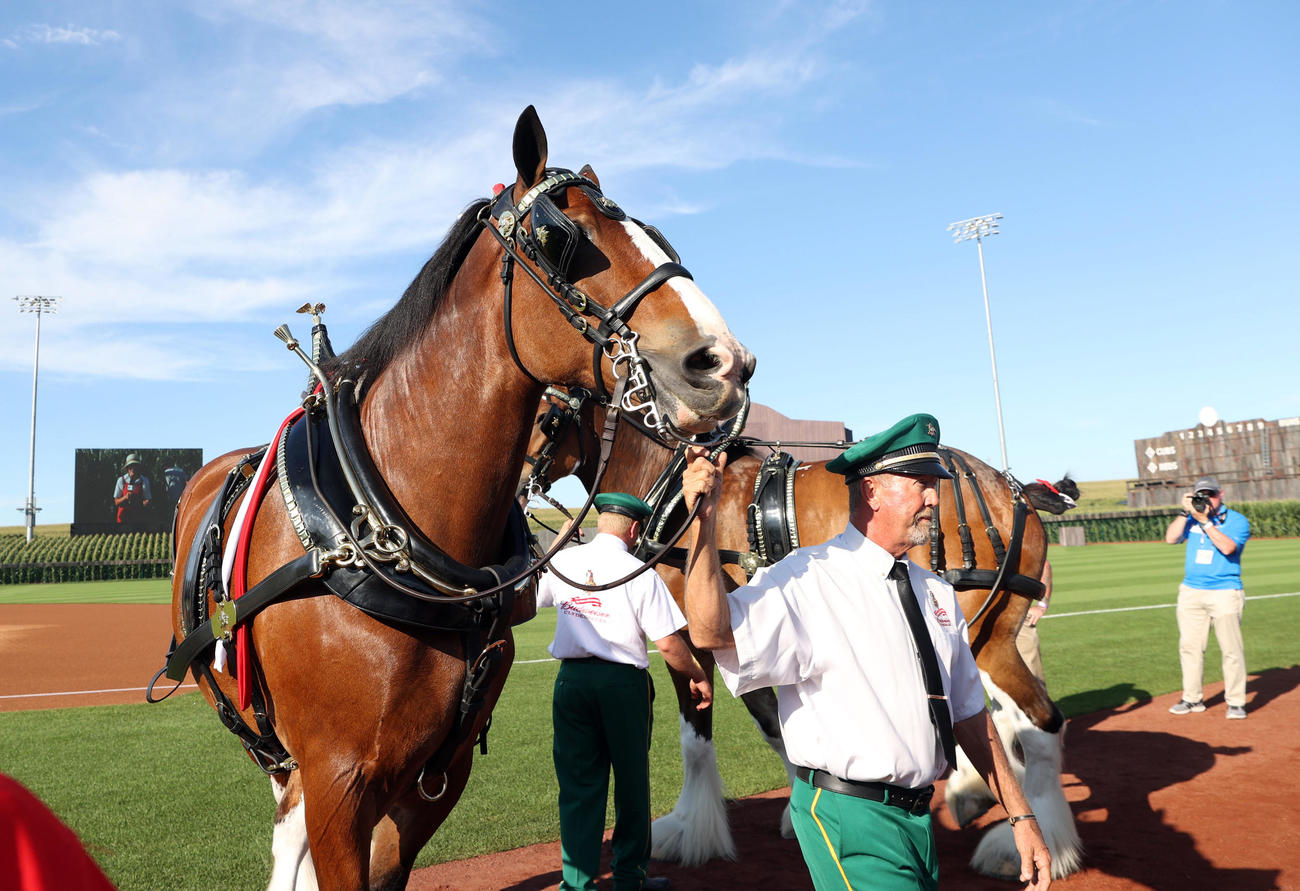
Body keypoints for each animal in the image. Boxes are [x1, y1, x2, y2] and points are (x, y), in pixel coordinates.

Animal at [157, 106, 754, 891]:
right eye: (561, 239)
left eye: (658, 233)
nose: (724, 362)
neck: (383, 530)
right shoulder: (337, 781)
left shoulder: (438, 776)